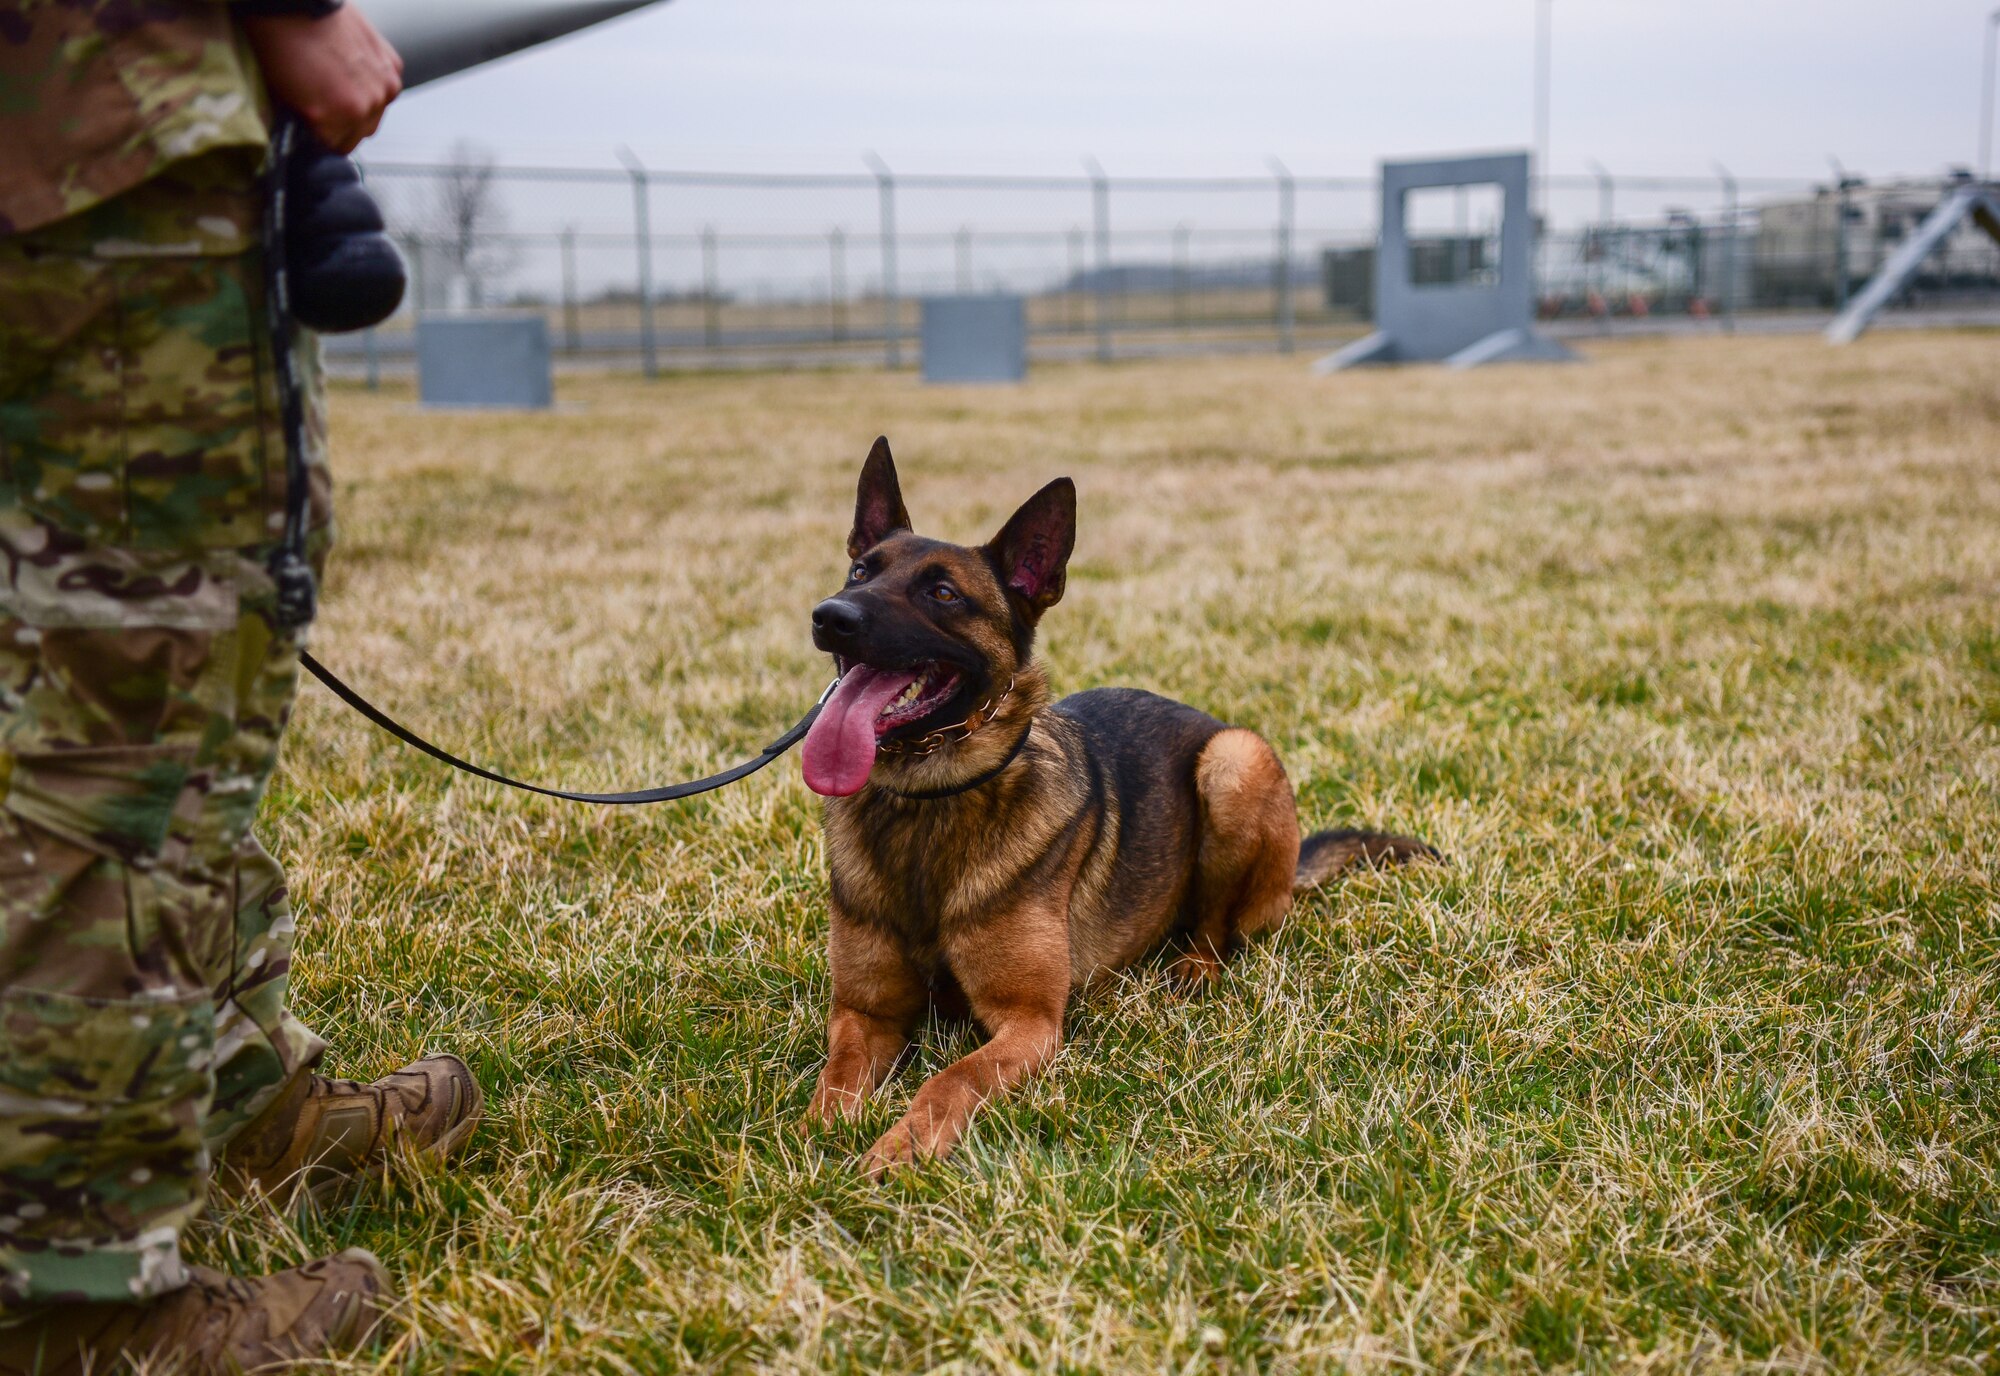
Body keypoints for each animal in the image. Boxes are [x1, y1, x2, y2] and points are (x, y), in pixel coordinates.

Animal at [796, 438, 1440, 1168]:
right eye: (858, 571)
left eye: (942, 593)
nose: (831, 616)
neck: (930, 802)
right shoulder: (864, 1013)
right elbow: (835, 1079)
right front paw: (818, 1137)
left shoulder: (1029, 1023)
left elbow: (948, 1079)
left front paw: (900, 1148)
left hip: (1235, 761)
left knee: (1216, 931)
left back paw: (1191, 971)